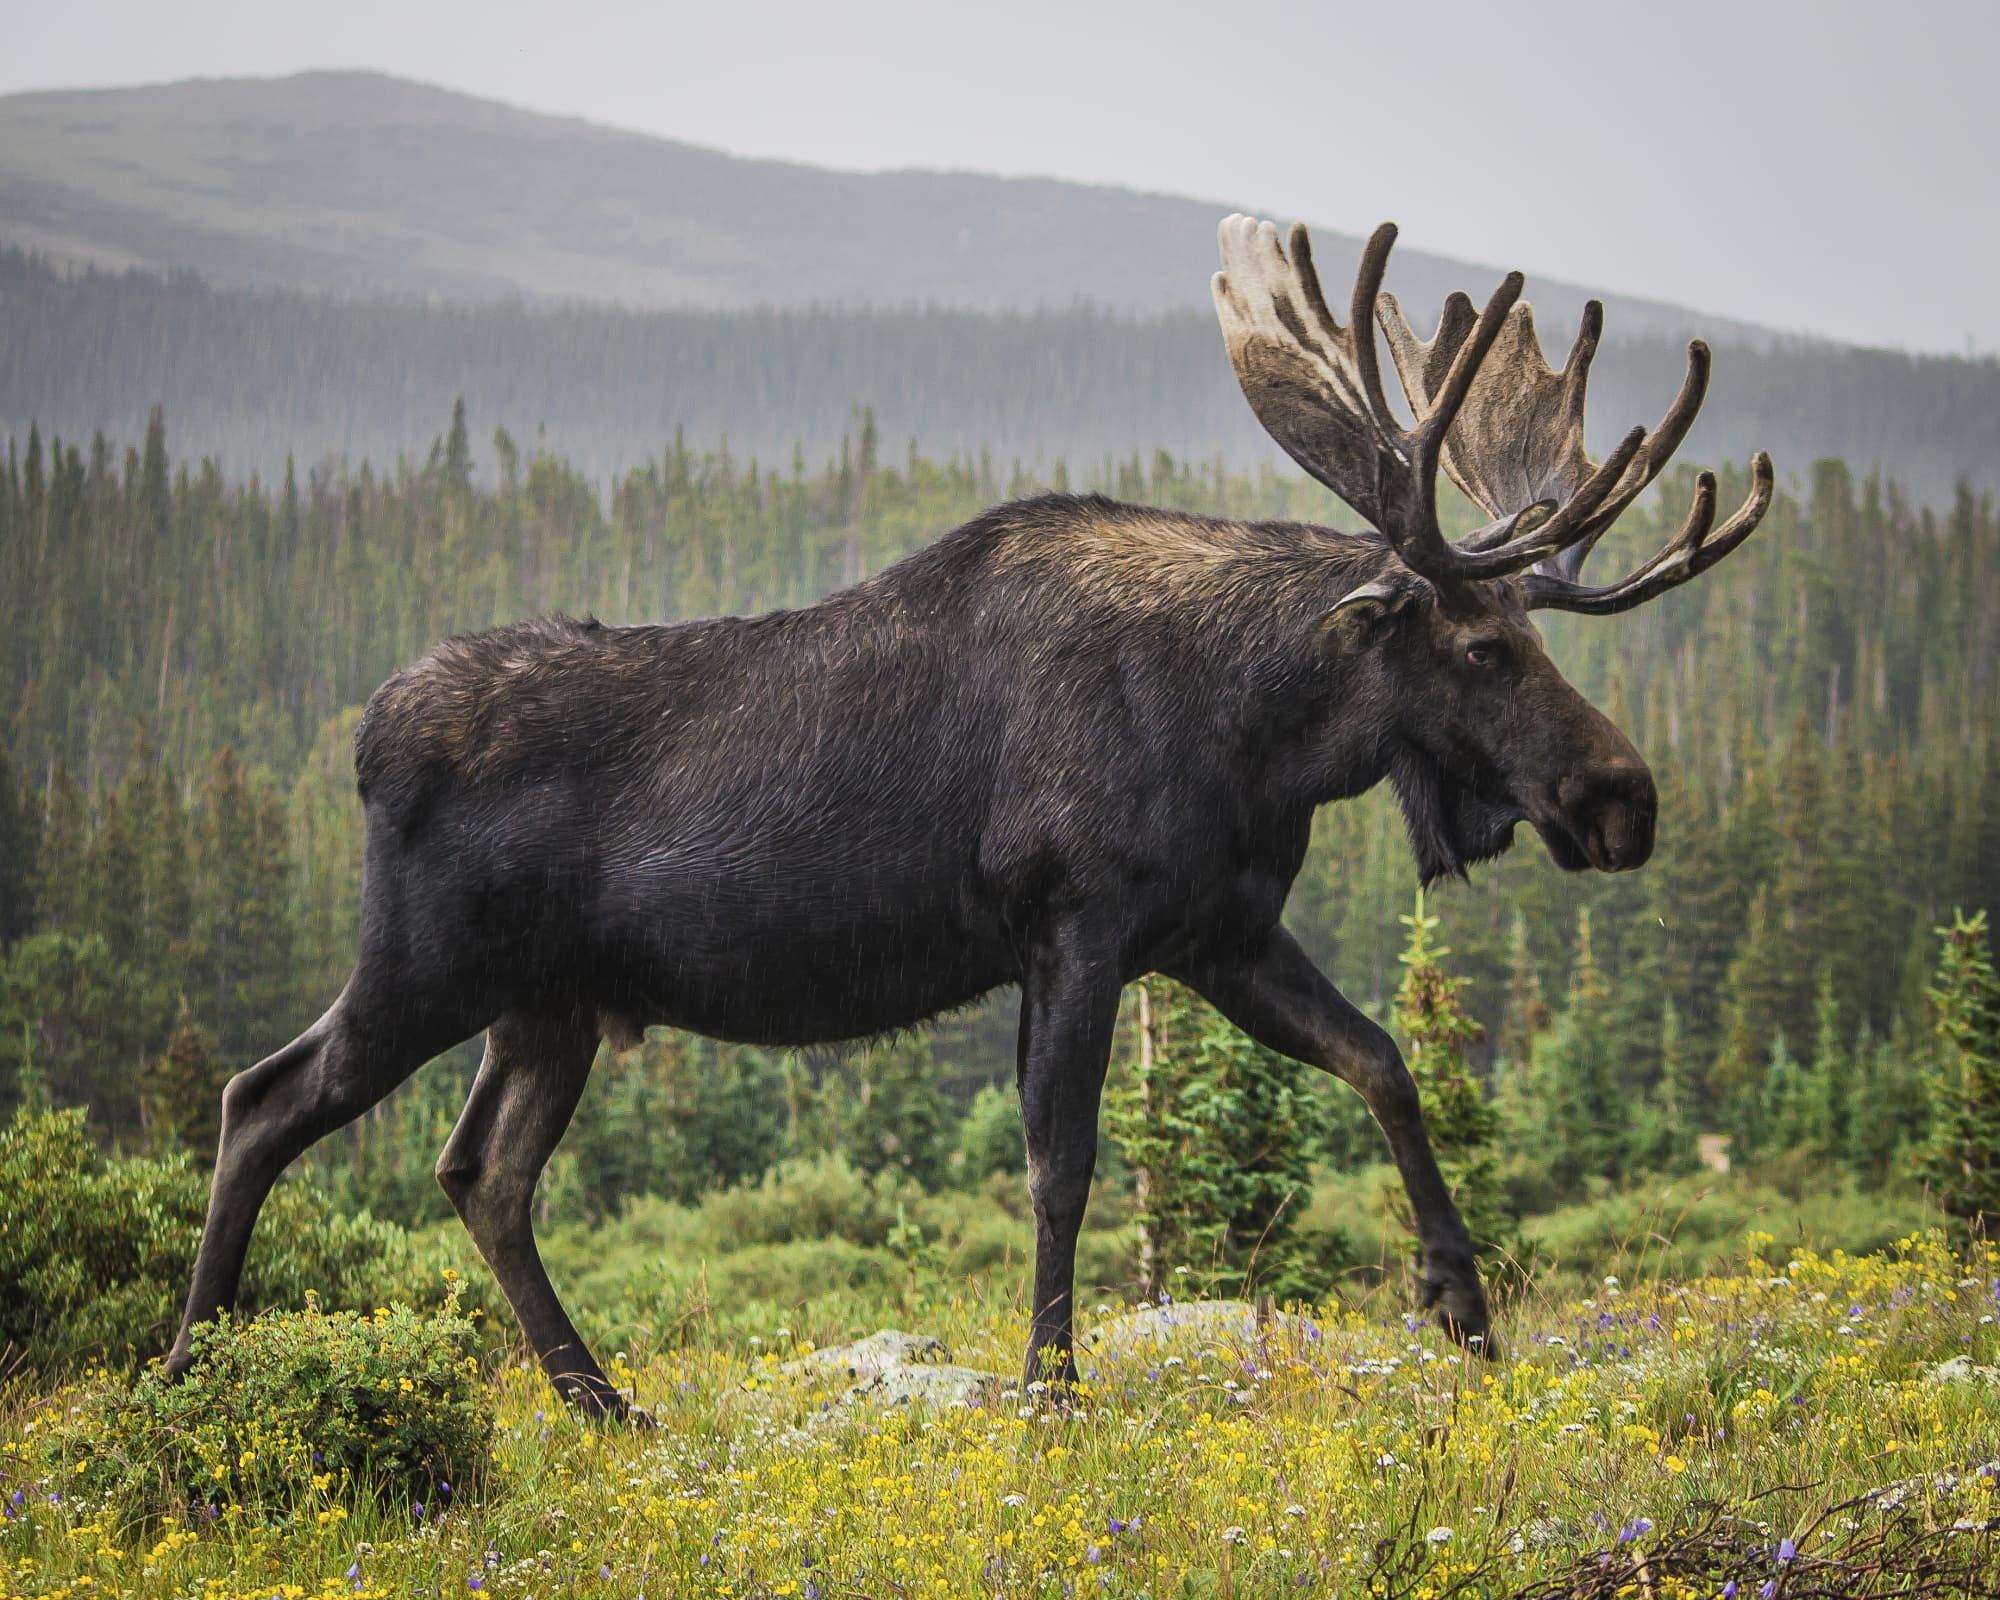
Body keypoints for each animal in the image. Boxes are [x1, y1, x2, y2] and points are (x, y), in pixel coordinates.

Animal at [168, 216, 1768, 1416]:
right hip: (428, 963)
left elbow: (1382, 1059)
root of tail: (365, 736)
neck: (1252, 734)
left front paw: (1463, 1303)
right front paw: (1052, 1392)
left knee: (481, 1173)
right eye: (1482, 646)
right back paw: (189, 1368)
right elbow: (1063, 1162)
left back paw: (601, 1401)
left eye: (1534, 633)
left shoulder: (1216, 934)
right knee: (264, 1100)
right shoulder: (1078, 925)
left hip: (548, 1003)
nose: (1622, 799)